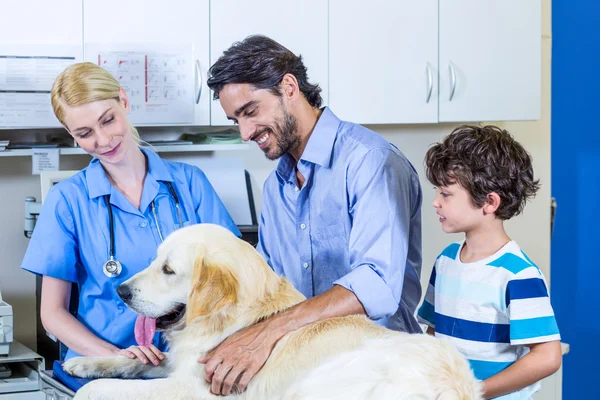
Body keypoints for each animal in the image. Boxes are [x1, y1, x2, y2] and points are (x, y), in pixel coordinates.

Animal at [63, 223, 480, 398]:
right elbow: (134, 361)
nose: (121, 290)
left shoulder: (192, 388)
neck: (231, 320)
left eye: (168, 270)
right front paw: (83, 362)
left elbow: (100, 391)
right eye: (155, 261)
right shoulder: (183, 362)